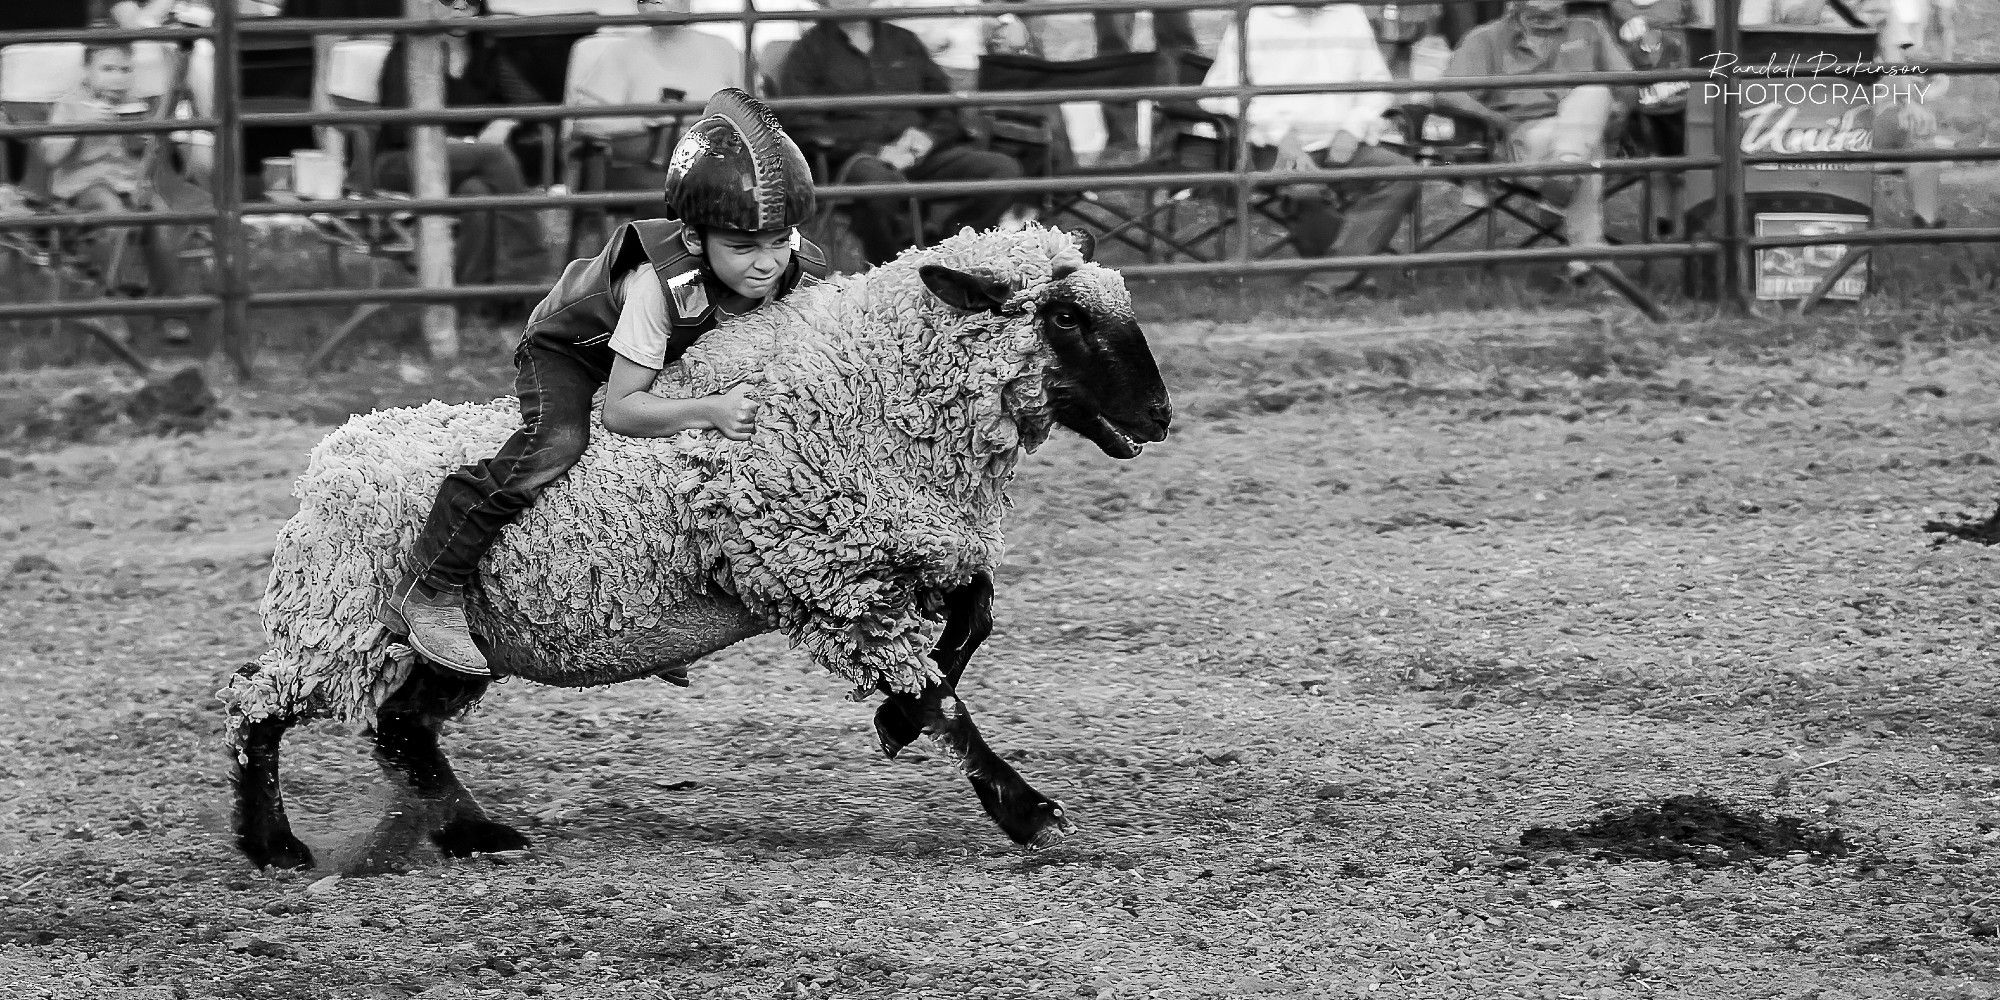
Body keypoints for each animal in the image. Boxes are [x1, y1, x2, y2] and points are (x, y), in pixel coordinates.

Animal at [230, 227, 1168, 868]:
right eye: (1064, 314)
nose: (1161, 416)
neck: (865, 389)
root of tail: (330, 457)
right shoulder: (827, 582)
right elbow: (944, 699)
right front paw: (1027, 810)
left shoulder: (901, 550)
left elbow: (974, 620)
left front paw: (895, 726)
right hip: (343, 622)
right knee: (255, 701)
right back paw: (273, 844)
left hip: (450, 647)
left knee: (398, 730)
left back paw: (472, 832)